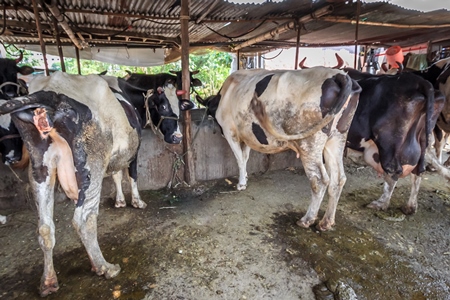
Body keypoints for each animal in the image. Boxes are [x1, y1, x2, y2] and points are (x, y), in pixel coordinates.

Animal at [0, 71, 186, 296]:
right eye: (163, 106)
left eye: (179, 106)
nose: (177, 137)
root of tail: (50, 90)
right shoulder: (133, 149)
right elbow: (131, 175)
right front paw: (137, 202)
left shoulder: (114, 157)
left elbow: (115, 176)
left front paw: (120, 201)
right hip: (93, 163)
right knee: (84, 219)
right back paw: (104, 267)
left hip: (39, 168)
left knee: (45, 227)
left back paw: (49, 281)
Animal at [197, 68, 362, 231]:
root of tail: (339, 75)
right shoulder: (247, 135)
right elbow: (245, 157)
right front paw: (245, 178)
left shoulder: (230, 132)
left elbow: (239, 158)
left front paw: (241, 183)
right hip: (336, 138)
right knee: (338, 179)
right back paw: (326, 222)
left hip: (310, 143)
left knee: (320, 180)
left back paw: (307, 220)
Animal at [344, 71, 446, 214]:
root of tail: (420, 81)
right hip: (421, 141)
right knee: (418, 171)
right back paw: (410, 207)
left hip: (389, 143)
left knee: (393, 171)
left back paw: (381, 203)